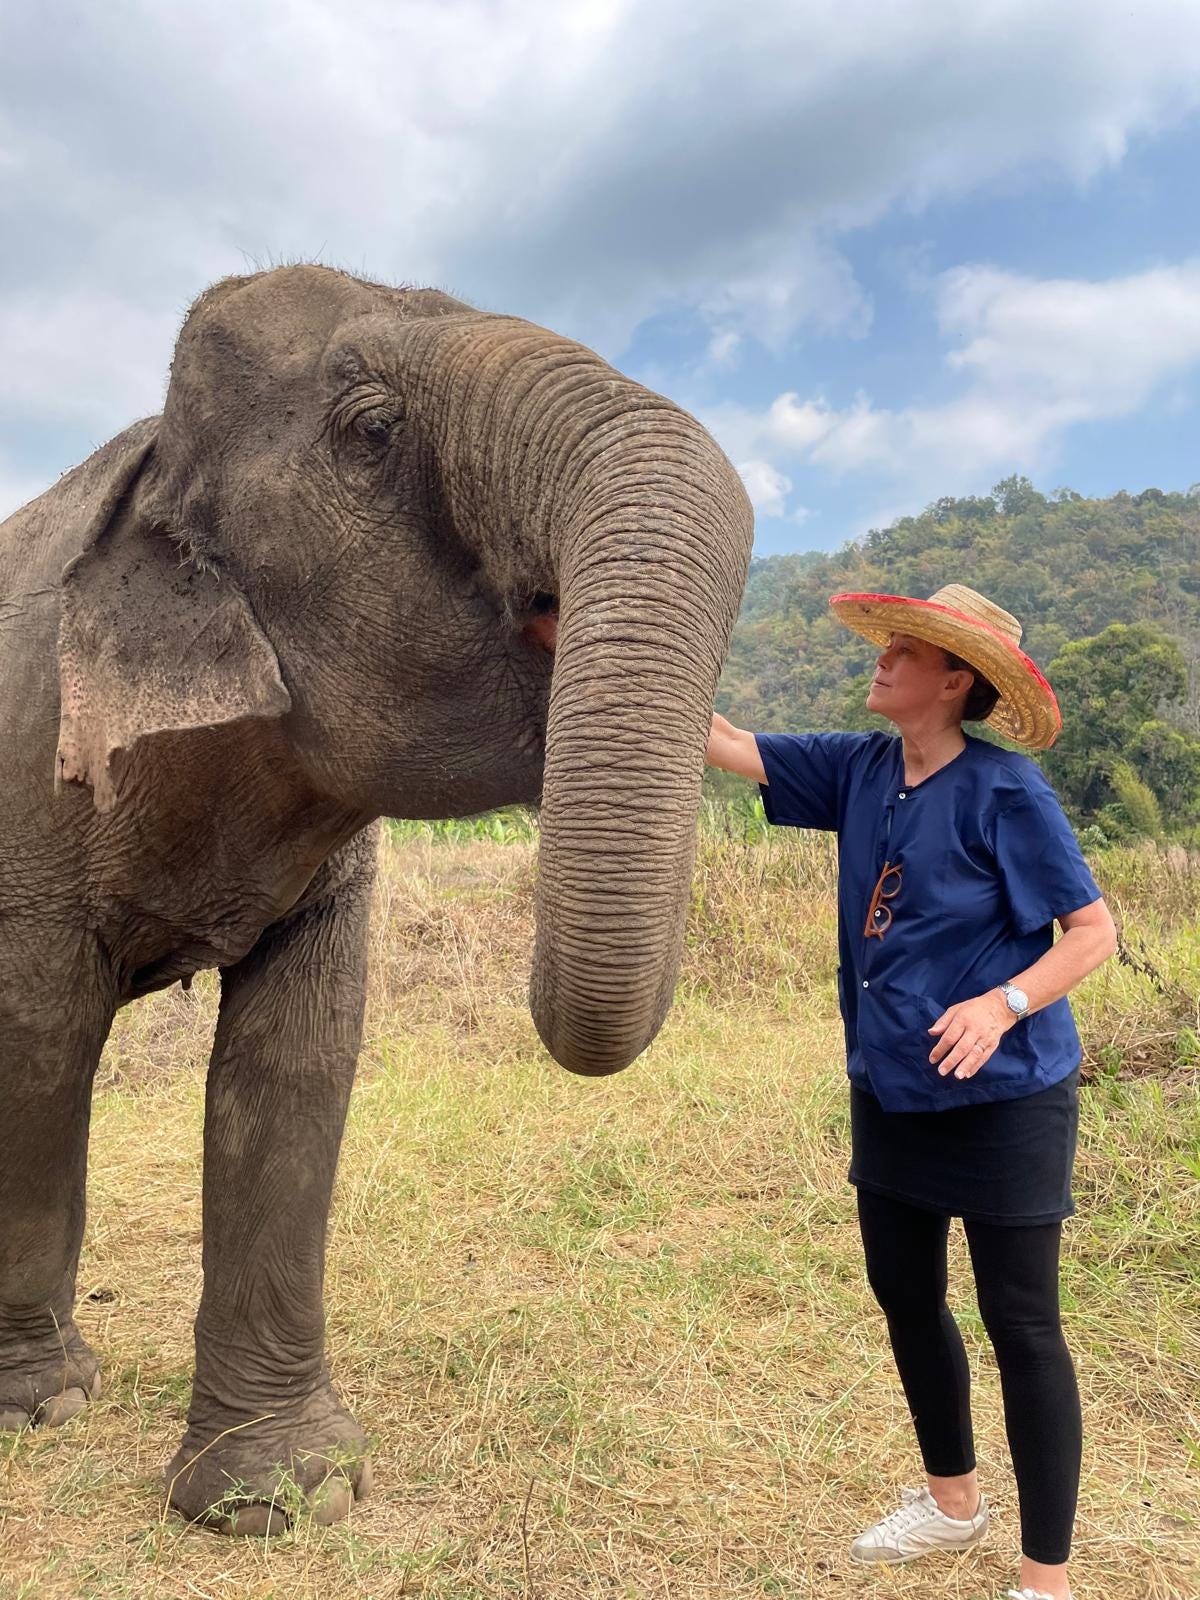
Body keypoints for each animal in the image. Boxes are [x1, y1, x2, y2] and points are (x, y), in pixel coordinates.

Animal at [0, 268, 752, 1529]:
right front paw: (39, 1407)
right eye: (372, 432)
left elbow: (298, 1056)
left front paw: (279, 1500)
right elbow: (40, 1046)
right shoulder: (25, 795)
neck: (156, 459)